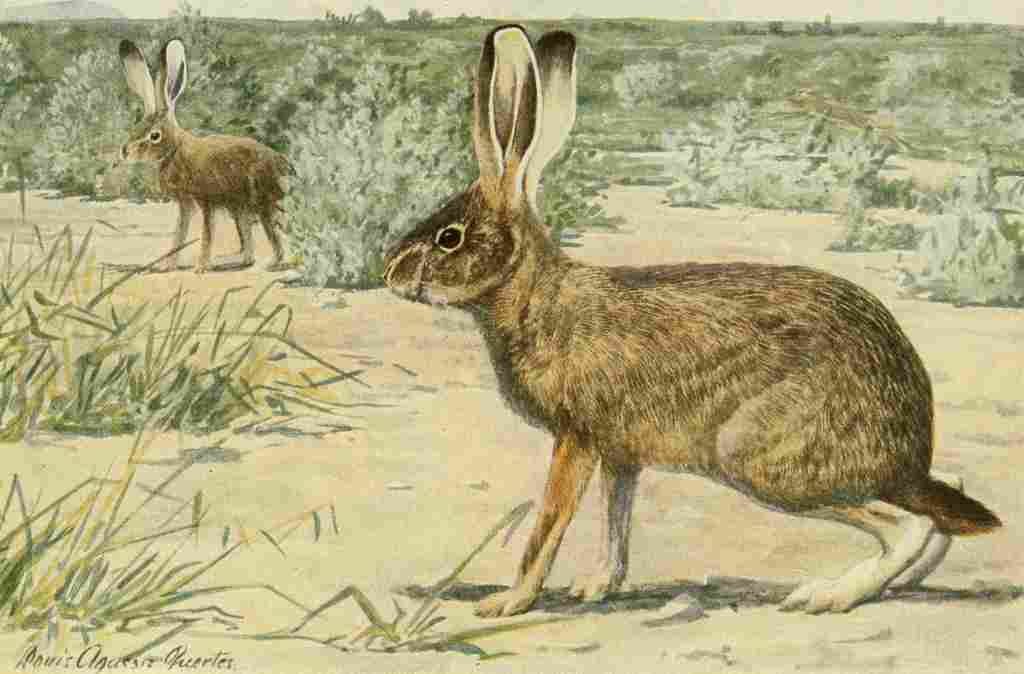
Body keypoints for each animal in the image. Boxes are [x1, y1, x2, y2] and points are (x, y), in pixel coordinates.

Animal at [118, 38, 290, 274]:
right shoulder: (185, 203)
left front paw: (200, 267)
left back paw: (272, 263)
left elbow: (207, 234)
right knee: (247, 239)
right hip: (240, 208)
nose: (124, 151)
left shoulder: (205, 200)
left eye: (154, 135)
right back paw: (239, 261)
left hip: (260, 201)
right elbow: (180, 233)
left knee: (273, 233)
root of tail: (286, 166)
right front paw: (167, 266)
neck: (175, 150)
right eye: (136, 127)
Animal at [383, 25, 1002, 618]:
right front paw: (596, 587)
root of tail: (910, 444)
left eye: (449, 237)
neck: (536, 296)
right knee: (939, 518)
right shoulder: (619, 454)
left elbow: (550, 523)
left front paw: (509, 602)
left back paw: (828, 595)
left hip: (764, 459)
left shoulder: (577, 437)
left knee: (912, 525)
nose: (389, 272)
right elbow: (615, 521)